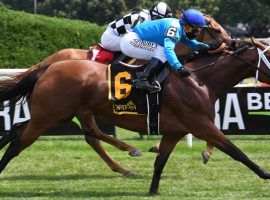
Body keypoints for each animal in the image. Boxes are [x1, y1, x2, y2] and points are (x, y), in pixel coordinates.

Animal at [0, 38, 270, 195]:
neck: (198, 79)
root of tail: (46, 67)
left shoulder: (175, 131)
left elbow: (160, 162)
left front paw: (152, 191)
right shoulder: (201, 124)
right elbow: (235, 151)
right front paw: (265, 174)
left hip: (55, 115)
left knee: (18, 130)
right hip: (49, 116)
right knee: (20, 143)